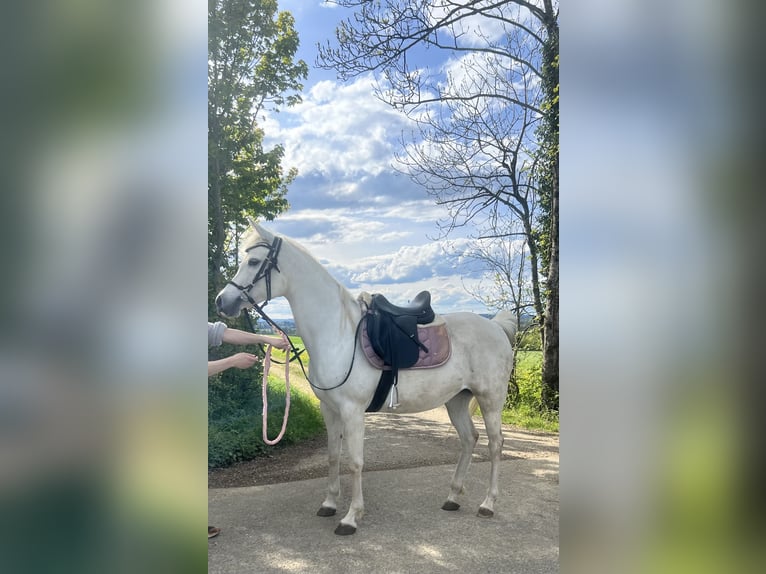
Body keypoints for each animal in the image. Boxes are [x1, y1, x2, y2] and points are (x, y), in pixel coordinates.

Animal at [215, 221, 517, 535]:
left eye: (253, 262)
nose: (222, 301)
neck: (338, 334)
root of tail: (496, 326)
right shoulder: (329, 409)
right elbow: (333, 456)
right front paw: (329, 504)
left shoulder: (352, 411)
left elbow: (356, 462)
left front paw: (351, 517)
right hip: (456, 400)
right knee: (469, 439)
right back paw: (452, 497)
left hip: (490, 400)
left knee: (495, 444)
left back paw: (488, 504)